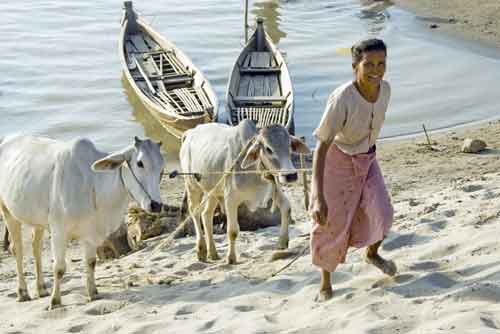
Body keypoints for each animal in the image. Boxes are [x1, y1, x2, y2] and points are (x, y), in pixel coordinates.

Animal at [0, 134, 165, 310]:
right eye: (140, 163)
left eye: (162, 166)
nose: (156, 205)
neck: (93, 184)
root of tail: (8, 139)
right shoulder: (58, 230)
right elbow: (59, 268)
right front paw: (55, 301)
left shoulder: (91, 233)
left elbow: (91, 262)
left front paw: (93, 293)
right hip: (7, 211)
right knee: (17, 249)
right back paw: (23, 292)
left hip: (37, 221)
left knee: (36, 248)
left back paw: (42, 289)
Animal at [180, 120, 308, 264]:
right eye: (268, 149)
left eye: (289, 145)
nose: (290, 175)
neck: (255, 171)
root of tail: (189, 133)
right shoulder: (230, 199)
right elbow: (232, 230)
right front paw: (231, 258)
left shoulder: (272, 188)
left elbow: (287, 208)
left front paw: (282, 242)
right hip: (192, 186)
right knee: (195, 212)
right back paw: (201, 250)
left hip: (213, 191)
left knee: (206, 214)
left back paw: (213, 253)